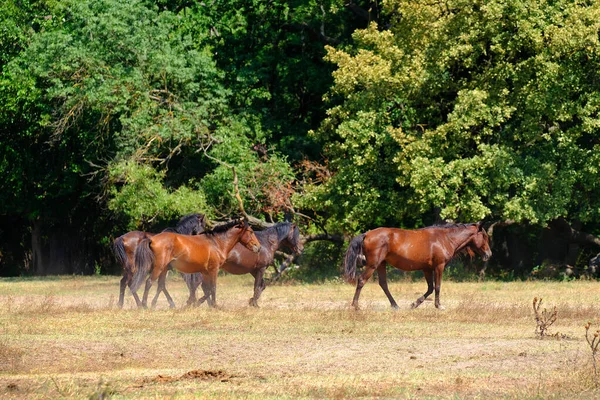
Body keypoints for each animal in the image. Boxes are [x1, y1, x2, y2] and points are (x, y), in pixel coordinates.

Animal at [131, 219, 260, 310]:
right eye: (251, 232)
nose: (258, 247)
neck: (216, 243)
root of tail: (152, 239)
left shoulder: (205, 272)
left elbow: (206, 289)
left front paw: (194, 303)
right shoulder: (213, 270)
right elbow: (212, 288)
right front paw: (214, 305)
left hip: (164, 269)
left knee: (160, 285)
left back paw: (156, 304)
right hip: (159, 267)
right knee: (149, 282)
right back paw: (144, 305)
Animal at [344, 222, 490, 310]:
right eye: (484, 236)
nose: (489, 254)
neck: (445, 238)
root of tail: (367, 234)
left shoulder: (427, 269)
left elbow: (430, 288)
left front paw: (414, 304)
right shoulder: (439, 266)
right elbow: (437, 286)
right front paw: (438, 305)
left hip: (381, 264)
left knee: (383, 284)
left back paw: (395, 305)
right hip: (373, 265)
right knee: (361, 280)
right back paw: (355, 306)